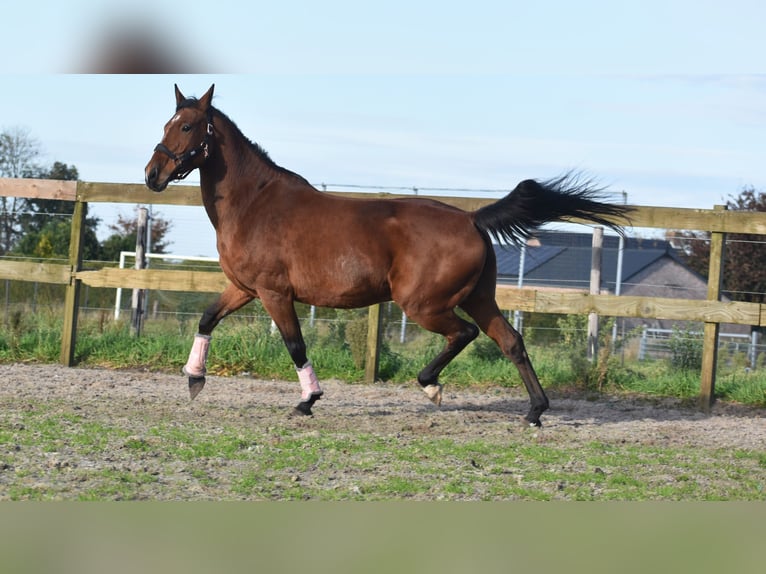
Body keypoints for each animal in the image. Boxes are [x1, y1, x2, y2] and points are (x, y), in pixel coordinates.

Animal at [144, 85, 632, 428]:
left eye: (186, 127)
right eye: (165, 123)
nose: (152, 175)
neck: (255, 203)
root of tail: (471, 219)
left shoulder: (274, 293)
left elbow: (295, 344)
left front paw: (307, 401)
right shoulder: (244, 288)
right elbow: (207, 318)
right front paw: (194, 379)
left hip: (423, 304)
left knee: (465, 334)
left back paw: (431, 387)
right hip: (478, 297)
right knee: (510, 340)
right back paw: (534, 411)